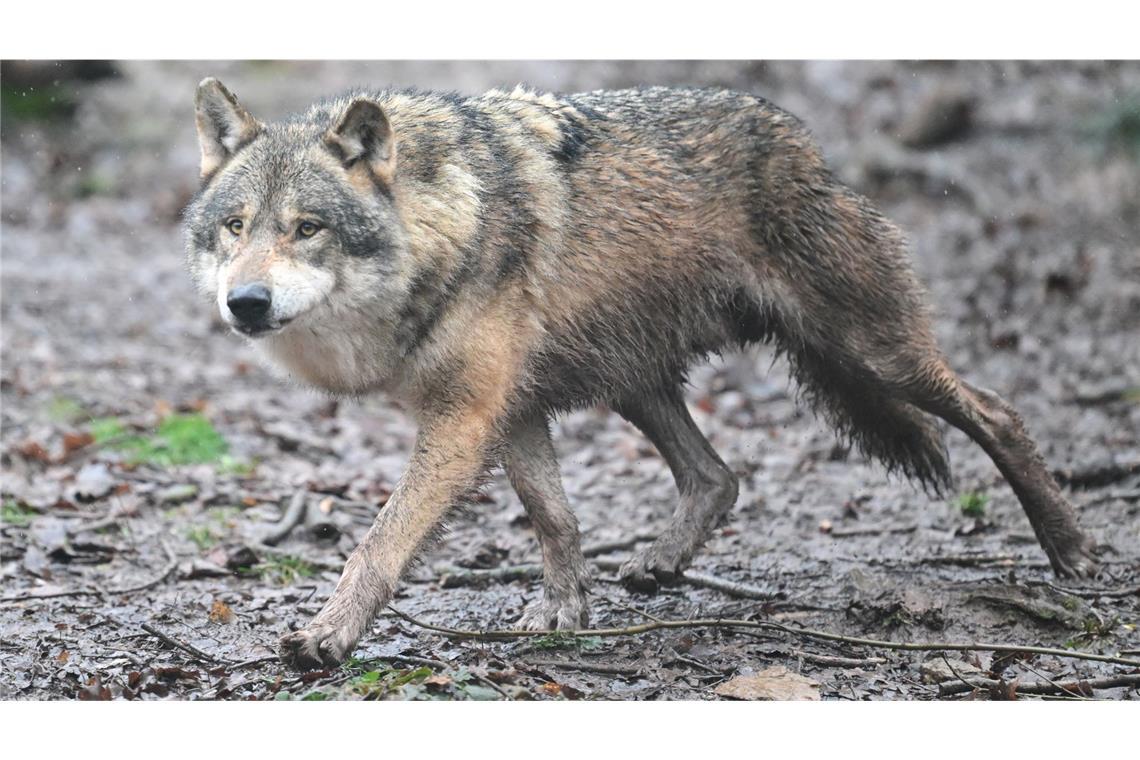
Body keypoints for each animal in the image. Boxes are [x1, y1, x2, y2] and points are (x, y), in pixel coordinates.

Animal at [183, 78, 1100, 669]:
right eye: (235, 226)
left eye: (307, 228)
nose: (246, 303)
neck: (443, 222)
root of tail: (804, 141)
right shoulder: (510, 410)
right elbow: (554, 518)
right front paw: (564, 612)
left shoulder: (463, 418)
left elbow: (378, 543)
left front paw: (327, 636)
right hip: (635, 381)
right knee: (718, 476)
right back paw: (659, 564)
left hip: (871, 353)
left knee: (998, 411)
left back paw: (1071, 553)